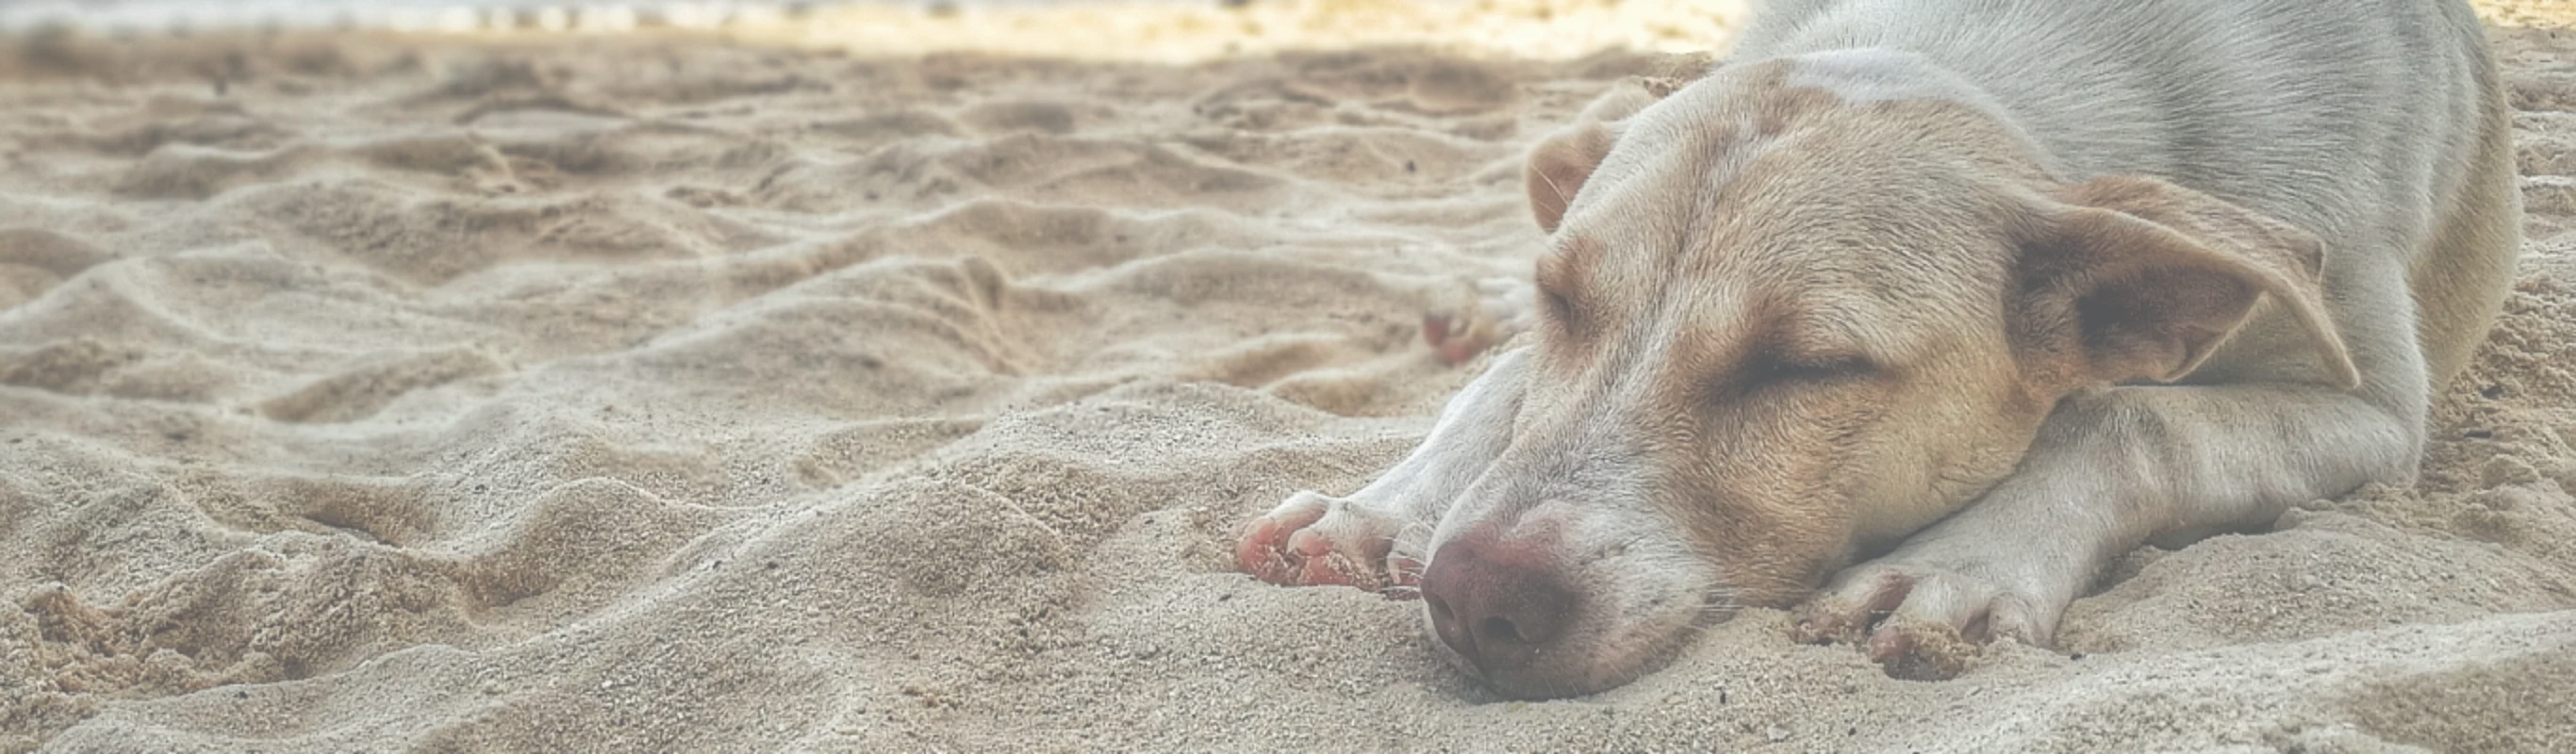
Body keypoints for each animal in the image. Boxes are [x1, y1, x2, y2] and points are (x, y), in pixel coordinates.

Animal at [1236, 0, 2524, 695]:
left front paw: (1963, 562)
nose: (1472, 598)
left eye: (1804, 367)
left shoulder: (2374, 410)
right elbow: (1496, 389)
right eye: (1558, 301)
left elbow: (2128, 408)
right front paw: (1381, 506)